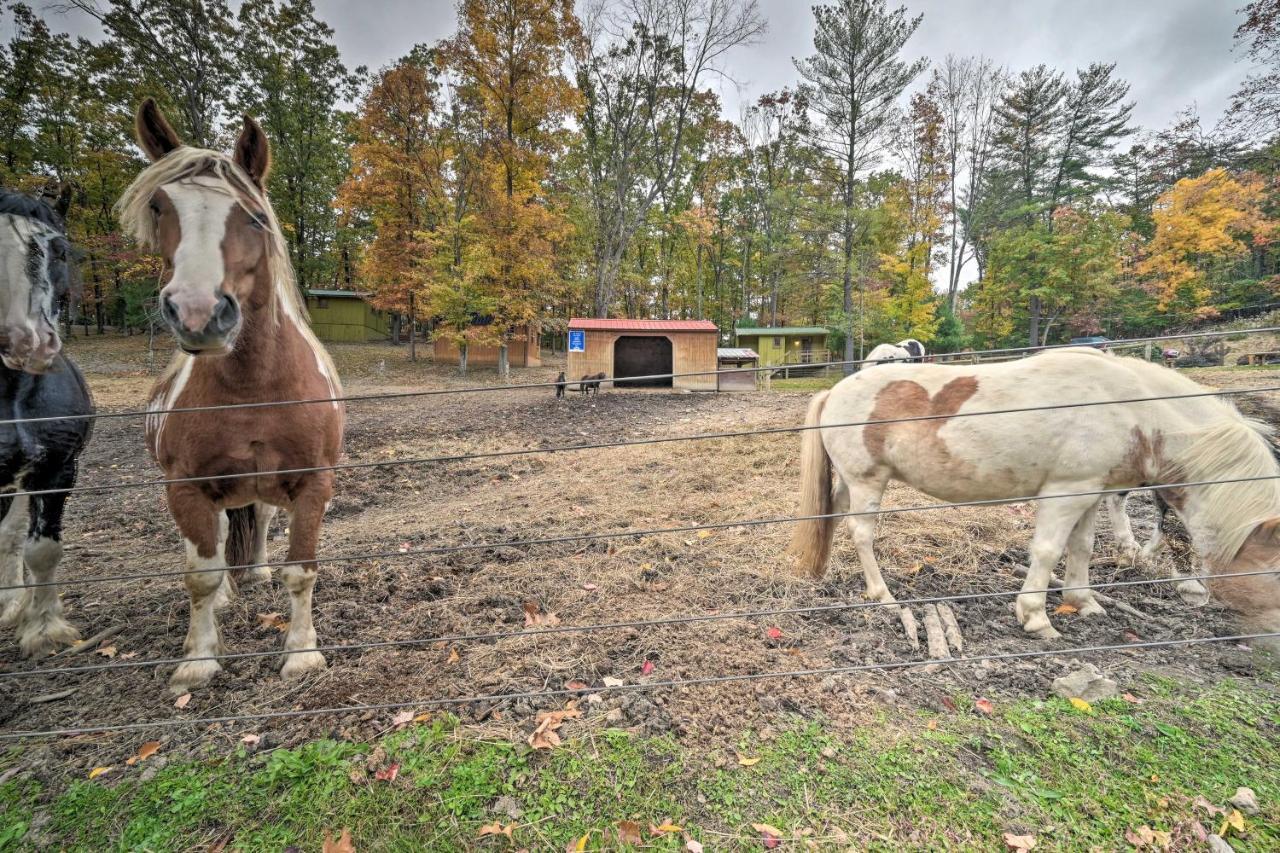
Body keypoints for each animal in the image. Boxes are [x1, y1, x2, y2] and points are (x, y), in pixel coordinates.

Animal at [783, 348, 1280, 648]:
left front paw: (1084, 602)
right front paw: (1037, 617)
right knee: (862, 535)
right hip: (869, 482)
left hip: (851, 482)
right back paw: (882, 595)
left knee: (833, 518)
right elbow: (1046, 551)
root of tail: (836, 389)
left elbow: (1082, 547)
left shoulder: (1091, 491)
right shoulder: (1065, 491)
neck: (1133, 409)